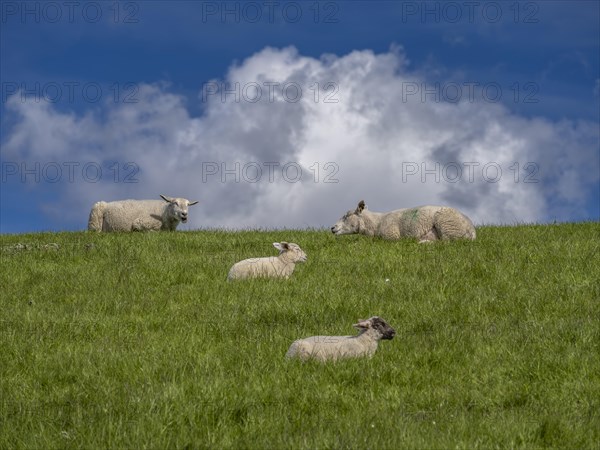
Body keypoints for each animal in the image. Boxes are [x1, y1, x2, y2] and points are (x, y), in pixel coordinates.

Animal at [330, 200, 476, 243]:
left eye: (347, 215)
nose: (332, 227)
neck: (377, 223)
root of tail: (473, 231)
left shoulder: (391, 236)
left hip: (448, 226)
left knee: (446, 243)